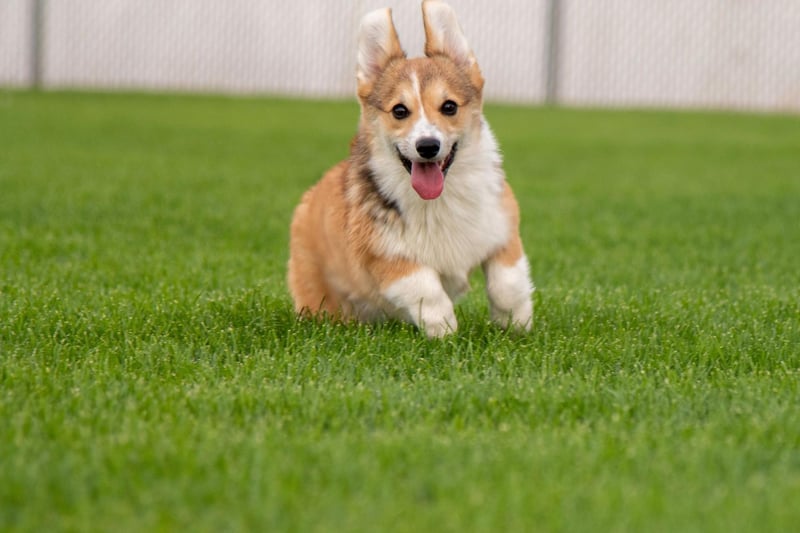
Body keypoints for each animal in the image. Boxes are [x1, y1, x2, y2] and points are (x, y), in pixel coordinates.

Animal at [288, 0, 532, 336]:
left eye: (449, 106)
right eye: (400, 111)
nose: (427, 146)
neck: (441, 201)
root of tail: (311, 195)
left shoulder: (503, 229)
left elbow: (508, 282)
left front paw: (516, 324)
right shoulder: (387, 256)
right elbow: (426, 288)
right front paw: (444, 329)